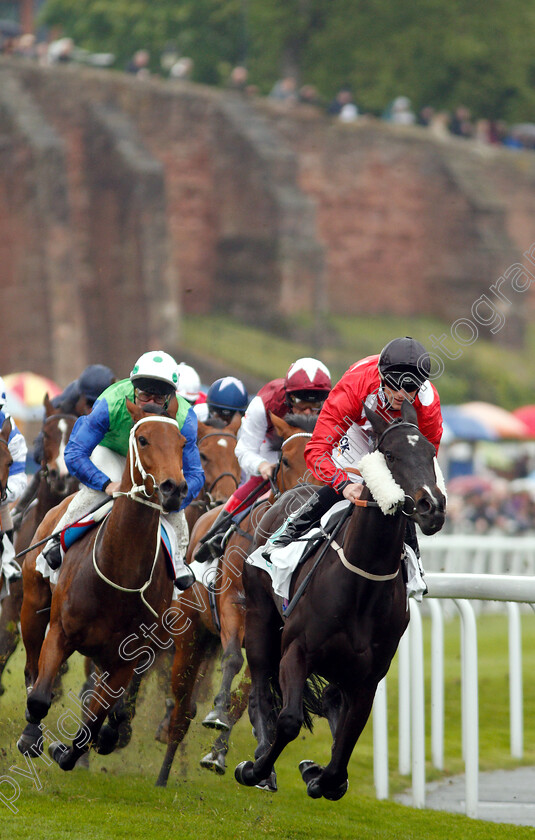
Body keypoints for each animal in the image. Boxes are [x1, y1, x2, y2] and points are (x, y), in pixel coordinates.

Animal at [17, 400, 188, 768]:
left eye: (183, 443)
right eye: (143, 439)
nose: (174, 488)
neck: (118, 572)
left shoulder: (125, 657)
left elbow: (94, 721)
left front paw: (69, 750)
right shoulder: (59, 632)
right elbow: (39, 697)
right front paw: (35, 739)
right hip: (32, 605)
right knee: (30, 669)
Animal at [155, 414, 322, 788]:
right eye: (285, 460)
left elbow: (247, 696)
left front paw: (223, 754)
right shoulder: (233, 604)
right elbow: (232, 659)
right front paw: (216, 714)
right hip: (190, 631)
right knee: (182, 707)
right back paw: (162, 770)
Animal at [234, 404, 448, 804]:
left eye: (431, 454)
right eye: (390, 455)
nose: (432, 506)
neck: (362, 582)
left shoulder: (369, 675)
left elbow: (348, 741)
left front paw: (320, 776)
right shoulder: (296, 650)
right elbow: (289, 720)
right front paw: (257, 769)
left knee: (332, 699)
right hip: (258, 618)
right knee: (259, 688)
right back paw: (260, 756)